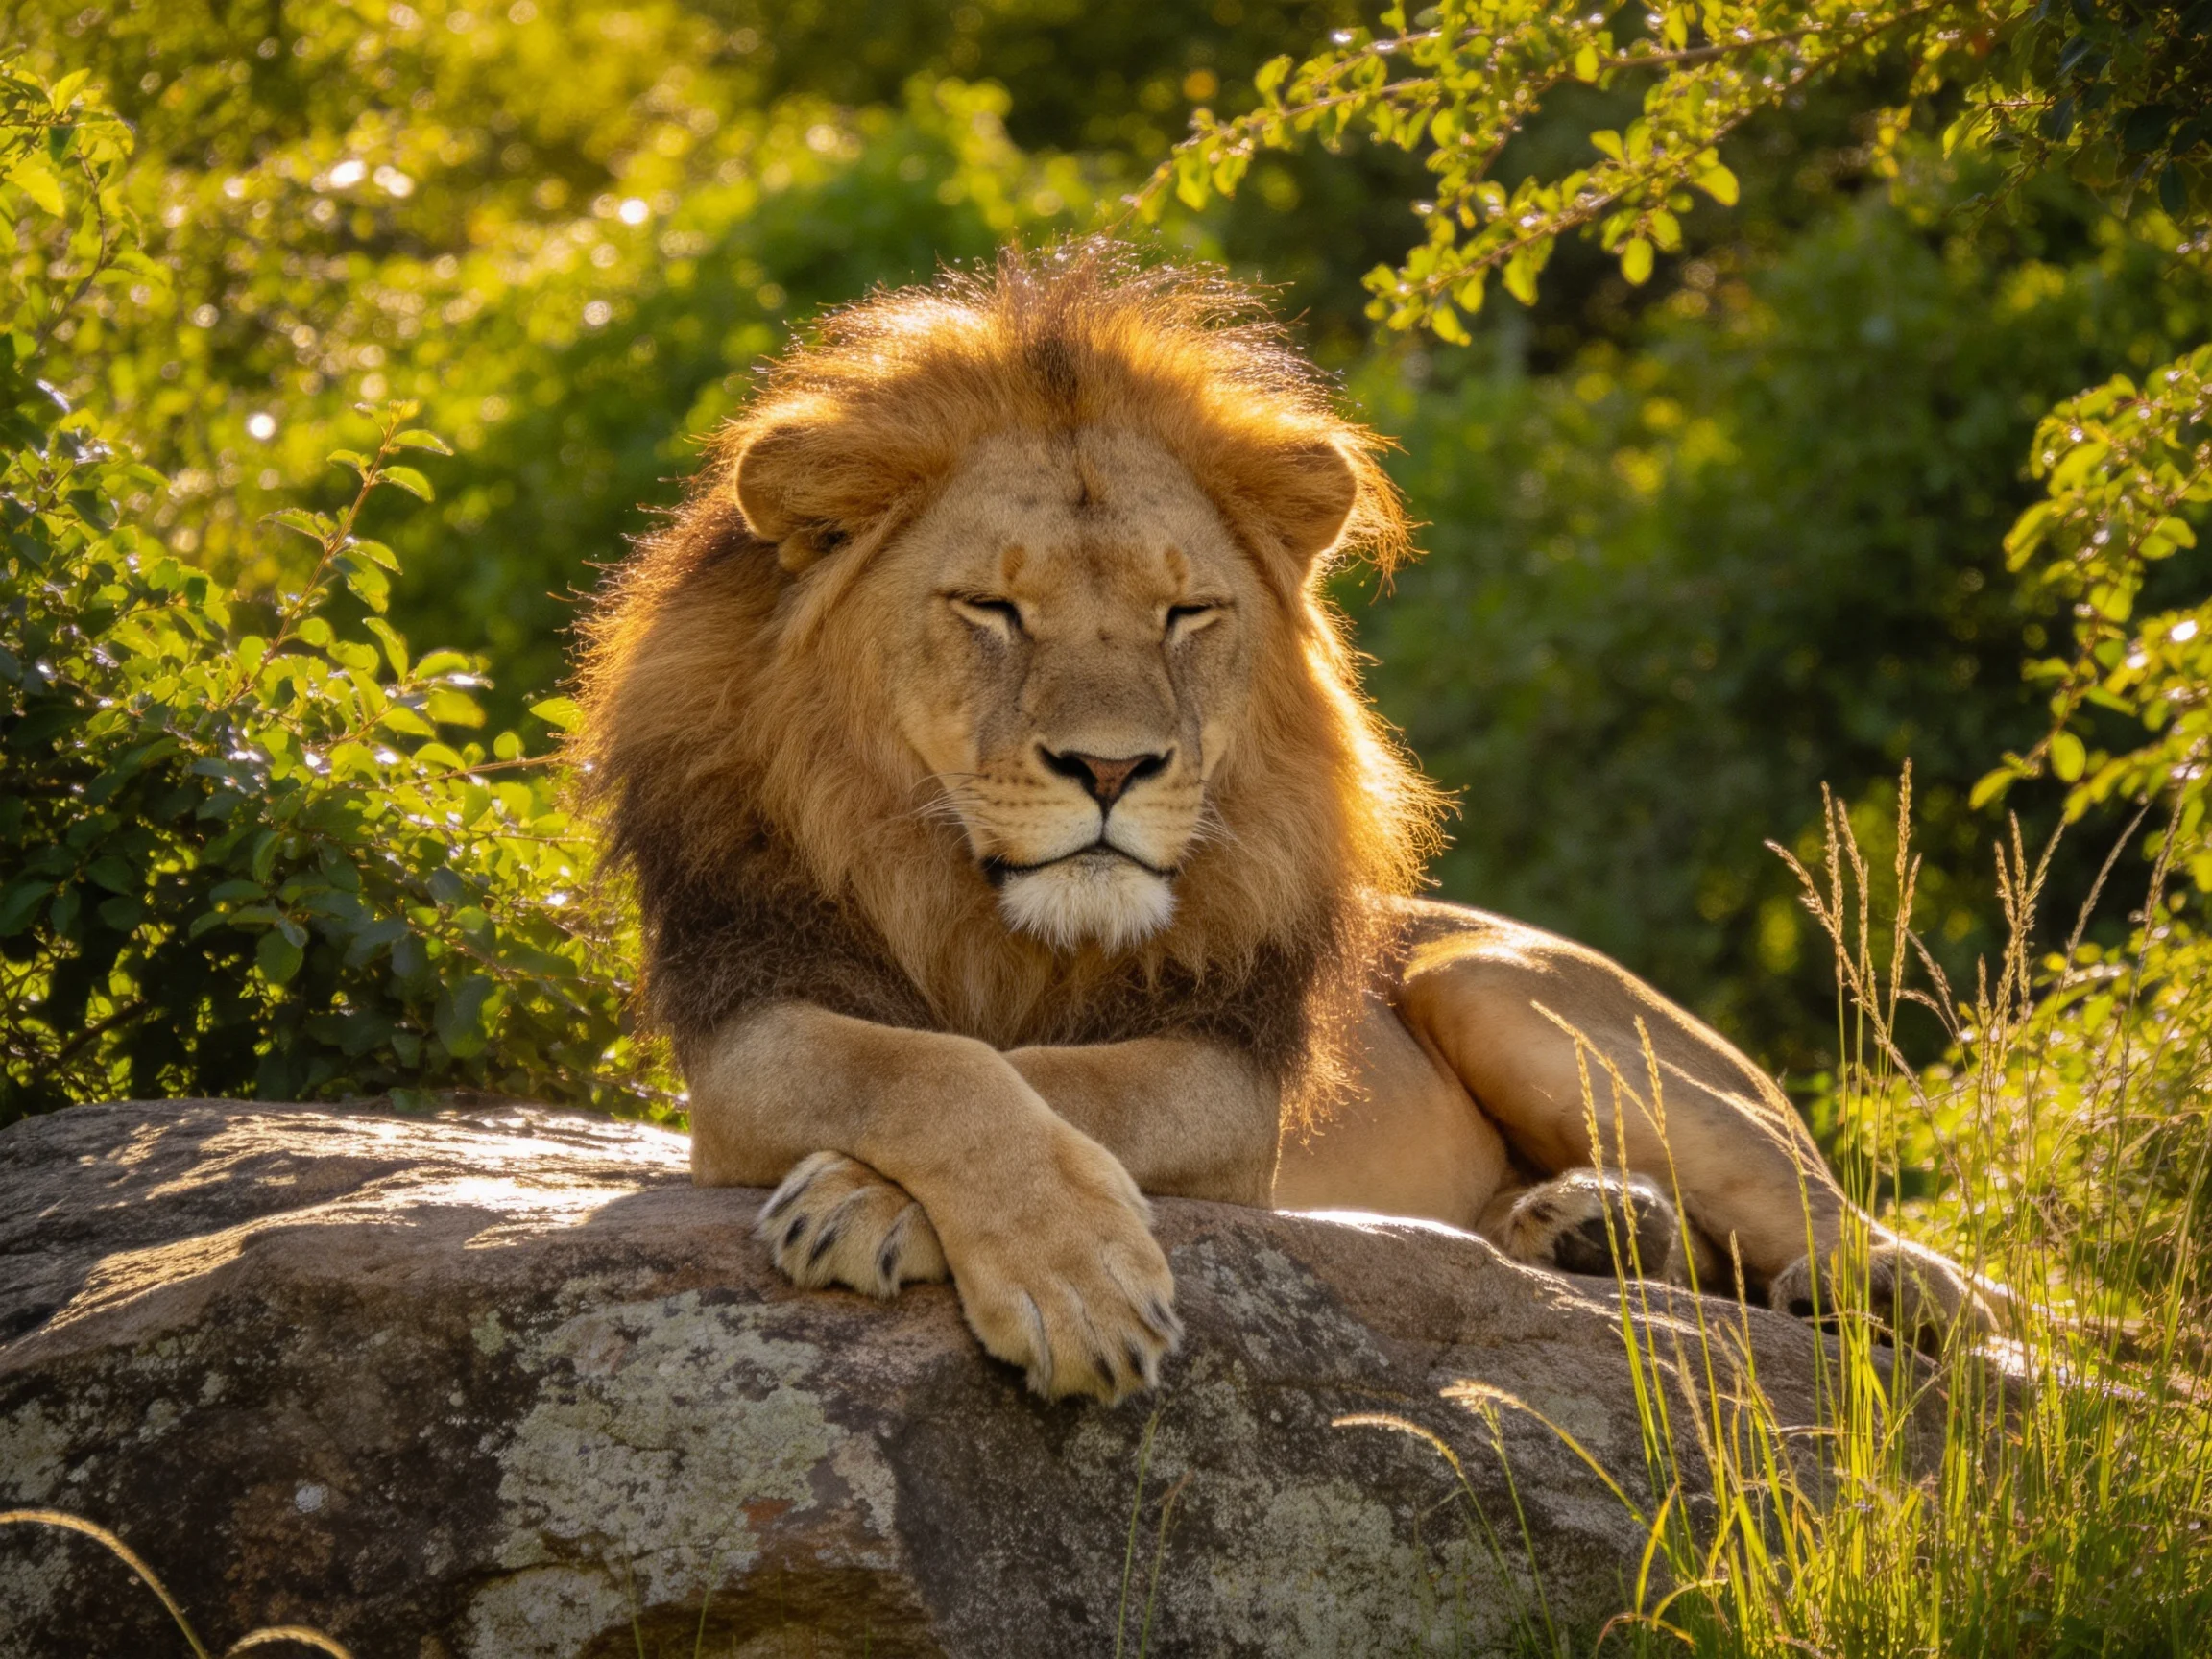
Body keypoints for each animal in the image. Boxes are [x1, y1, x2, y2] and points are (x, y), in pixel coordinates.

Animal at [576, 242, 1995, 1402]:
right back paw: (1588, 1228)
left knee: (1907, 1263)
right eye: (993, 608)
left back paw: (1857, 1282)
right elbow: (930, 1065)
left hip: (1490, 979)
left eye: (1185, 614)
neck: (993, 918)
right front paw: (1042, 1260)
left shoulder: (1229, 1074)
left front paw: (985, 1244)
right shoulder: (747, 1023)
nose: (1112, 768)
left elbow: (1060, 1081)